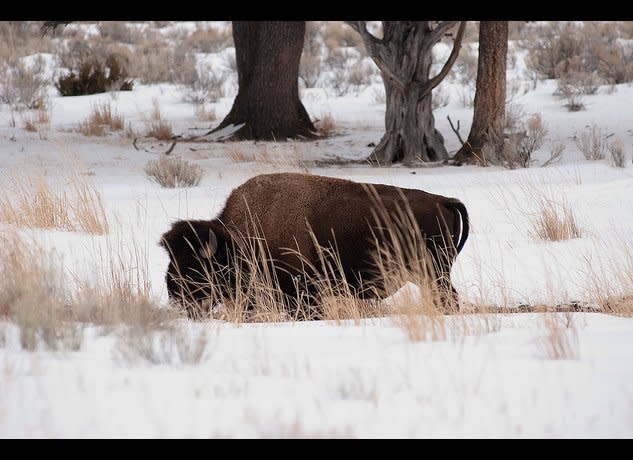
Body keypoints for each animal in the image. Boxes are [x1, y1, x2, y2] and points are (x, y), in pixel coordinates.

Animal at [160, 172, 466, 320]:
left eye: (194, 266)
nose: (174, 294)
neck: (239, 239)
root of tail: (442, 200)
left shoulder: (303, 295)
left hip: (433, 274)